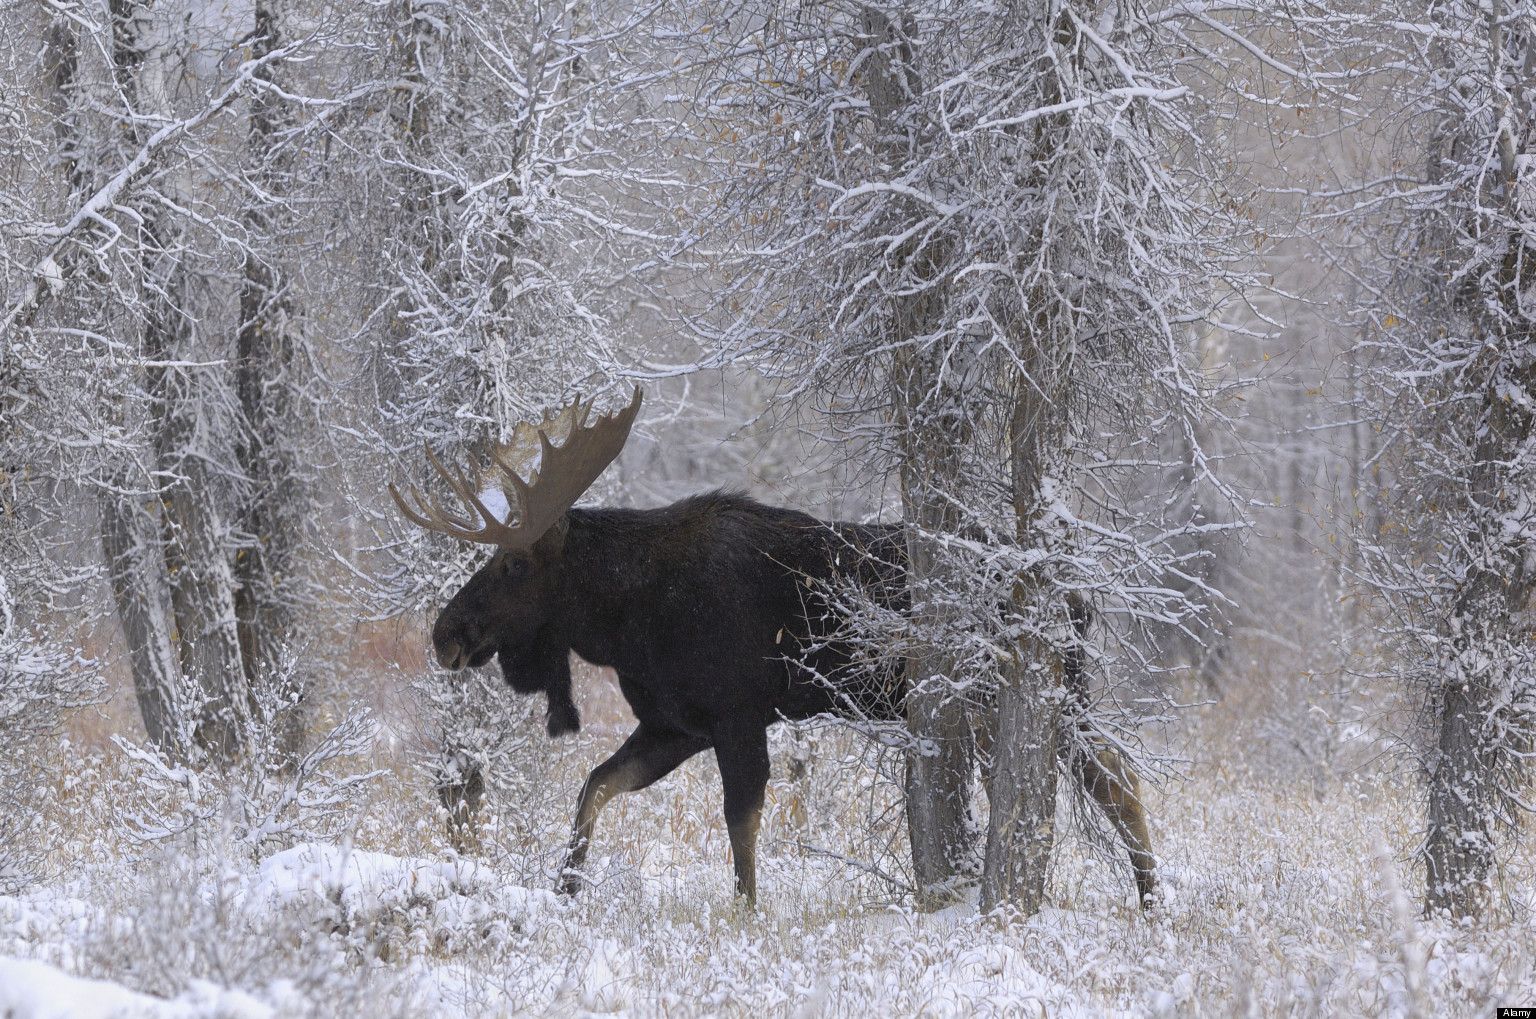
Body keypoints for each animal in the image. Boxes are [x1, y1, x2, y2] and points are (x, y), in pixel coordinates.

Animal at [390, 387, 1155, 903]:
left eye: (514, 564)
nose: (446, 633)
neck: (627, 621)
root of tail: (1080, 597)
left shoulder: (737, 715)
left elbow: (741, 825)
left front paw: (747, 916)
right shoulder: (675, 723)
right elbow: (595, 787)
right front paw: (565, 888)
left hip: (1024, 688)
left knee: (1111, 776)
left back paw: (1152, 898)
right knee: (1105, 774)